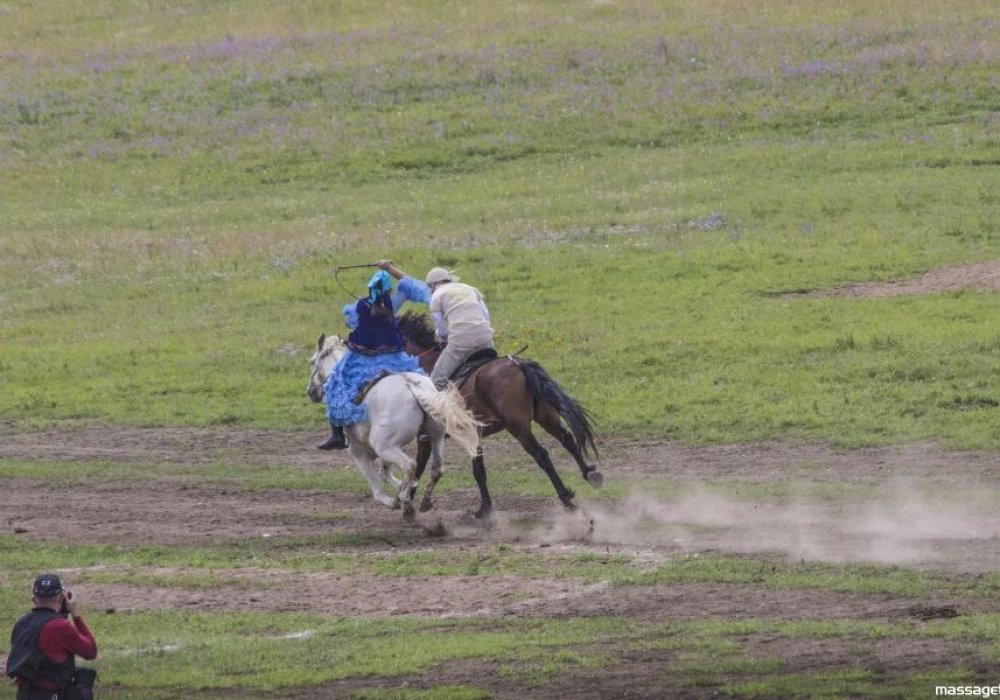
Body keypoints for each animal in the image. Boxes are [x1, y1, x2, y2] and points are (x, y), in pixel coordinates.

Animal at [304, 334, 480, 520]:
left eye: (312, 362)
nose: (311, 391)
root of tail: (413, 387)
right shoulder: (390, 450)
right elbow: (386, 473)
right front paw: (405, 486)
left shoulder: (360, 453)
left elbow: (378, 489)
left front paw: (395, 499)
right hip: (435, 438)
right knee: (437, 468)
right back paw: (424, 500)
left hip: (384, 446)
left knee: (410, 464)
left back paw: (406, 504)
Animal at [396, 312, 600, 520]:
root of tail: (519, 364)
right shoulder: (473, 434)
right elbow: (478, 469)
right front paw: (485, 508)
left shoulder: (426, 438)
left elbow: (419, 467)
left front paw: (407, 503)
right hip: (545, 415)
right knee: (568, 440)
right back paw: (590, 474)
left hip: (518, 426)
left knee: (542, 454)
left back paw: (567, 499)